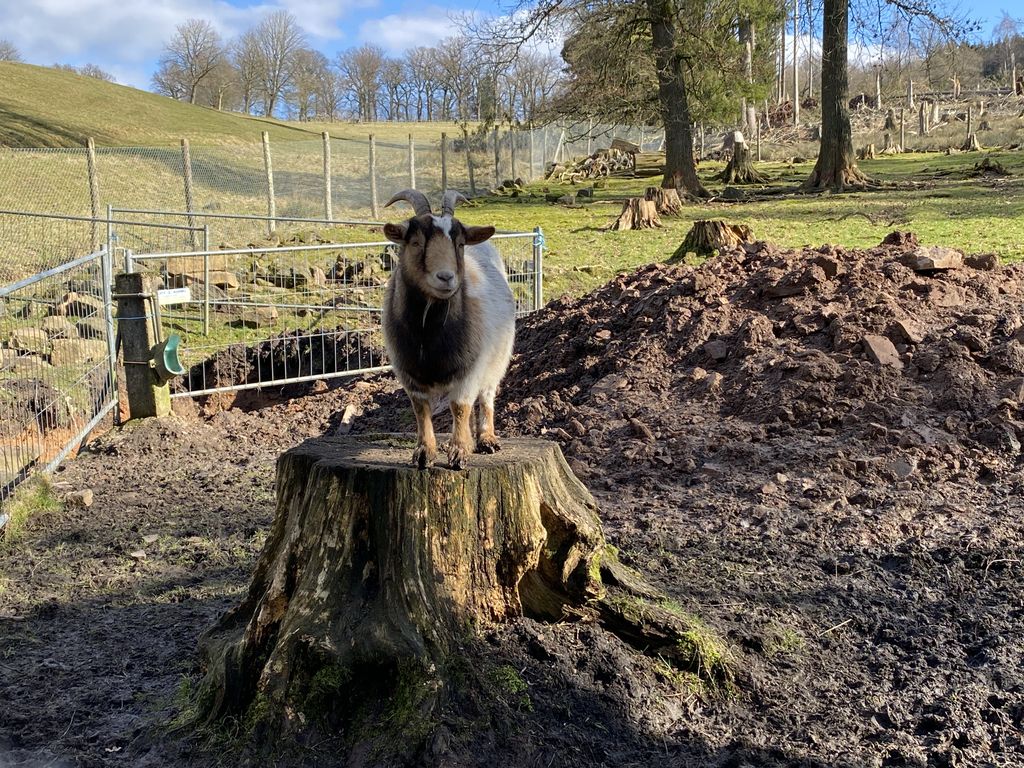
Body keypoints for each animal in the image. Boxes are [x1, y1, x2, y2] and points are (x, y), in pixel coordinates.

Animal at [382, 189, 516, 473]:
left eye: (460, 244)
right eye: (415, 242)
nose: (446, 278)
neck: (428, 333)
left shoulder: (471, 367)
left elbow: (460, 406)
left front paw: (459, 453)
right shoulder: (408, 371)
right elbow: (421, 409)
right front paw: (424, 454)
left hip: (497, 357)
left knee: (487, 396)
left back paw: (486, 439)